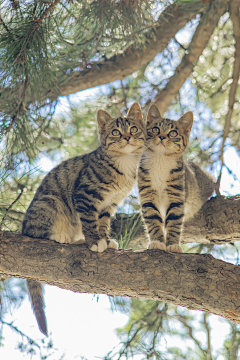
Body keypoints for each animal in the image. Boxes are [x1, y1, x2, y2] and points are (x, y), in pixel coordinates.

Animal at [22, 102, 146, 336]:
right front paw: (95, 241)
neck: (123, 163)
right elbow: (89, 221)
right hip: (50, 202)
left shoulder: (109, 204)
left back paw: (78, 240)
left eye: (133, 129)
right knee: (37, 233)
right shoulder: (85, 195)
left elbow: (102, 223)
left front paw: (104, 239)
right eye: (115, 132)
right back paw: (60, 236)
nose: (127, 137)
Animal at [138, 104, 215, 253]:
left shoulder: (177, 196)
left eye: (173, 133)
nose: (162, 137)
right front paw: (157, 242)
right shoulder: (147, 196)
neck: (160, 160)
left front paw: (173, 245)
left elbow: (174, 221)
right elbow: (153, 220)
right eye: (155, 129)